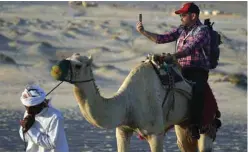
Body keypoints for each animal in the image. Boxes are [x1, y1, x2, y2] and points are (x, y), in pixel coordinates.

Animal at [50, 52, 215, 151]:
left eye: (78, 65)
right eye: (68, 57)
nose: (55, 69)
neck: (127, 104)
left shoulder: (156, 133)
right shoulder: (122, 130)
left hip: (206, 122)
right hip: (182, 123)